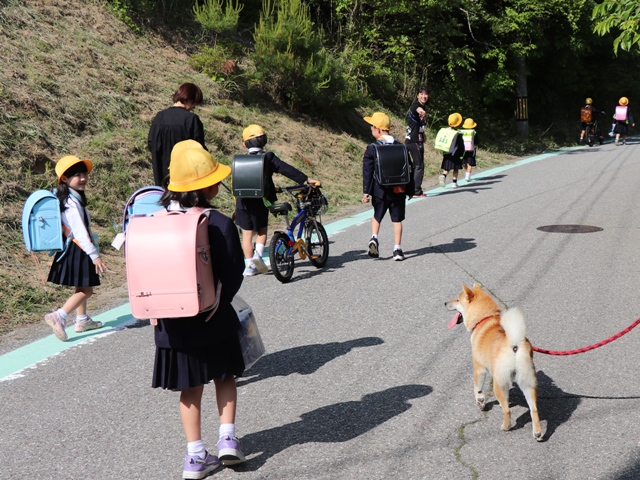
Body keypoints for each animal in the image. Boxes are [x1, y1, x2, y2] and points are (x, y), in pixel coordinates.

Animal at [448, 284, 544, 440]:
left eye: (457, 299)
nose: (445, 303)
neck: (484, 318)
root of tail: (514, 344)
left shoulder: (479, 368)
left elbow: (477, 389)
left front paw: (480, 402)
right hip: (528, 383)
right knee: (534, 409)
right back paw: (537, 433)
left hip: (499, 384)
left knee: (507, 411)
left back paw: (506, 426)